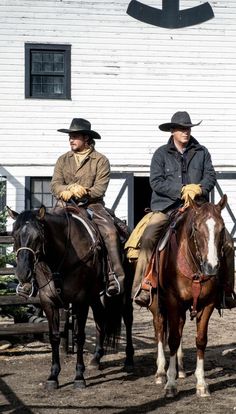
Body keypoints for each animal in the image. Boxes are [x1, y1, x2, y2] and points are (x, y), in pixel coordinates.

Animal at [7, 207, 134, 392]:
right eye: (14, 235)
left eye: (38, 236)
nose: (23, 273)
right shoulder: (48, 302)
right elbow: (54, 337)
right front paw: (53, 376)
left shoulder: (81, 301)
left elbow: (79, 336)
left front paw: (79, 376)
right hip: (95, 296)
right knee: (99, 319)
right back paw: (96, 358)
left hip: (124, 292)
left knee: (128, 318)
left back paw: (129, 359)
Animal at [148, 196, 229, 396]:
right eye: (197, 228)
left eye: (222, 228)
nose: (211, 266)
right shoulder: (172, 301)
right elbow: (172, 339)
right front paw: (170, 384)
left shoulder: (208, 304)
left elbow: (200, 340)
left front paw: (201, 384)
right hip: (157, 303)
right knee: (160, 328)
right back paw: (161, 372)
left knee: (179, 327)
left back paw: (181, 369)